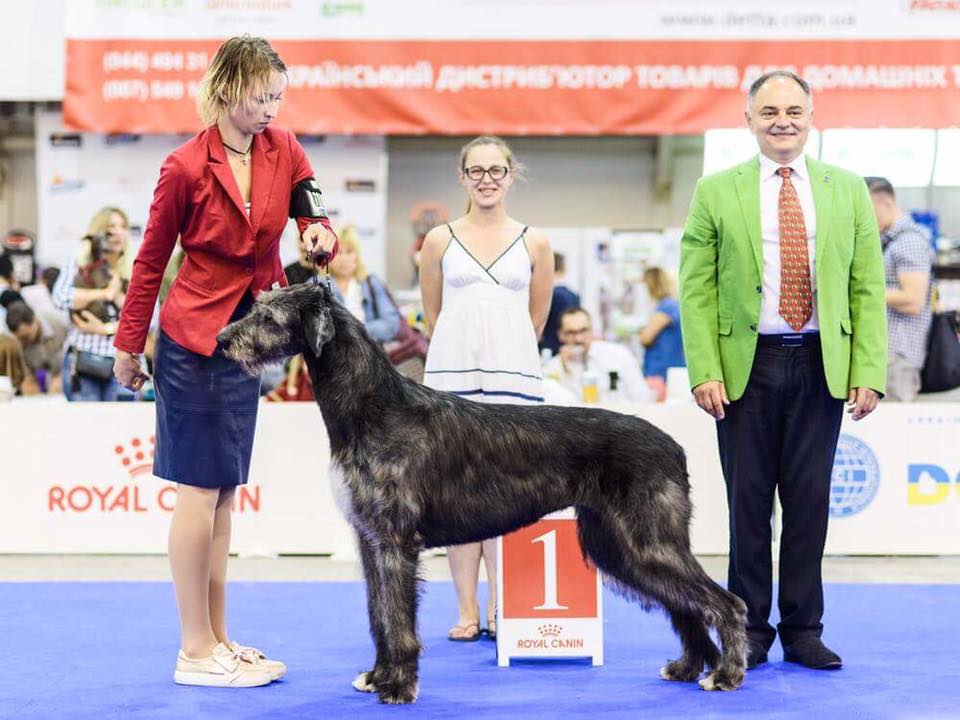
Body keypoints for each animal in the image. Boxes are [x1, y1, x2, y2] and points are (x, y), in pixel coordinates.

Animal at [218, 280, 752, 704]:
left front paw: (399, 685)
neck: (373, 407)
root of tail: (674, 446)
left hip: (646, 539)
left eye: (269, 316)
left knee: (726, 603)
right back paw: (689, 667)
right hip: (619, 544)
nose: (222, 340)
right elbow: (378, 615)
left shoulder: (395, 541)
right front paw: (377, 676)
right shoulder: (369, 539)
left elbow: (398, 618)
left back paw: (725, 674)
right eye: (257, 306)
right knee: (683, 602)